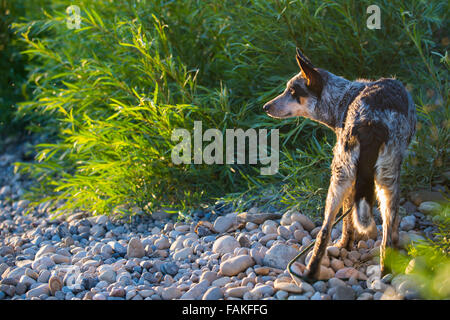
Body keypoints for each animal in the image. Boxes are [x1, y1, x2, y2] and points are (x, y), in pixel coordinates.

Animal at [262, 47, 416, 280]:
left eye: (292, 91)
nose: (265, 106)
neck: (343, 97)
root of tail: (370, 123)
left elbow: (348, 221)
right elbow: (350, 221)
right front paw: (347, 244)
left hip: (343, 179)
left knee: (325, 231)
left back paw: (311, 273)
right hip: (381, 181)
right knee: (385, 237)